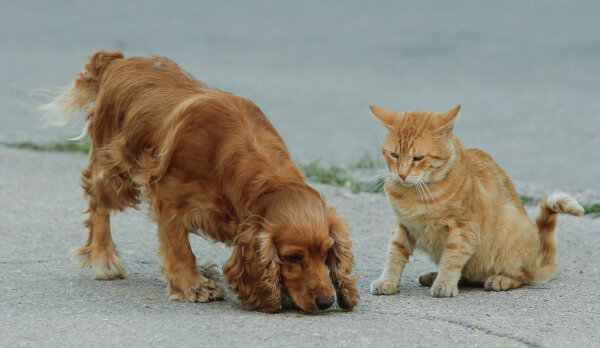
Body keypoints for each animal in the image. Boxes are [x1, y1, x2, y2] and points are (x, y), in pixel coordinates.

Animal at [368, 105, 584, 296]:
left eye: (418, 158)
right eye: (394, 154)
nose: (402, 175)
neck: (417, 194)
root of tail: (536, 263)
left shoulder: (463, 229)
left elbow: (452, 258)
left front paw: (444, 284)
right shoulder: (403, 226)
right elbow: (394, 255)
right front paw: (388, 282)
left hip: (512, 229)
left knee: (524, 277)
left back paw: (500, 279)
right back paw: (433, 276)